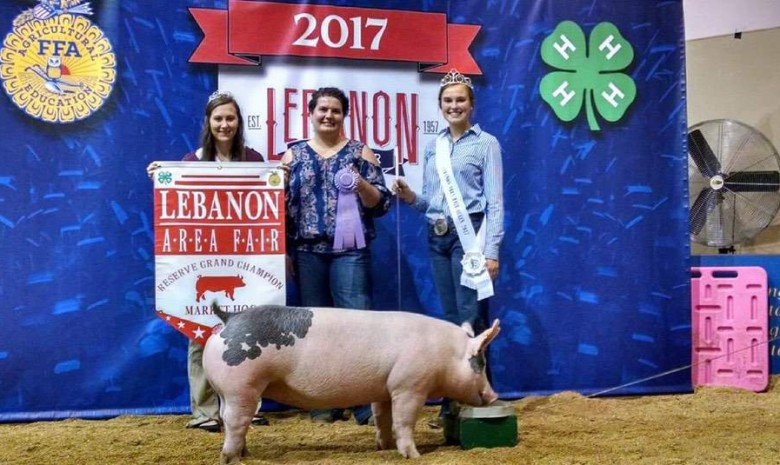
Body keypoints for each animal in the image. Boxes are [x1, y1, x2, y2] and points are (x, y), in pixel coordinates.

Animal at [203, 300, 500, 462]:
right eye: (480, 363)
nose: (495, 395)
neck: (445, 353)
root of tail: (230, 319)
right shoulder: (409, 386)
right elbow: (403, 421)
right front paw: (414, 456)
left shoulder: (384, 388)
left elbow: (382, 418)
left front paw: (383, 447)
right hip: (241, 386)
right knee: (235, 421)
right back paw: (230, 459)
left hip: (227, 391)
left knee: (230, 420)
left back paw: (244, 454)